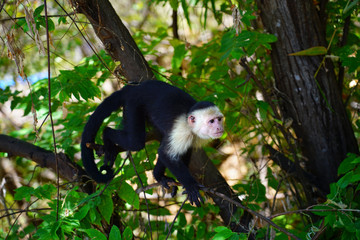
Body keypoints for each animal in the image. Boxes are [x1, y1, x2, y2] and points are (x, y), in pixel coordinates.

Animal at [81, 80, 225, 206]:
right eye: (211, 121)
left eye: (219, 119)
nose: (219, 128)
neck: (191, 126)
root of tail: (133, 88)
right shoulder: (182, 130)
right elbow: (166, 153)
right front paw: (191, 185)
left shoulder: (196, 136)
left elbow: (174, 152)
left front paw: (161, 177)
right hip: (133, 104)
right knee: (135, 142)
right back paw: (107, 136)